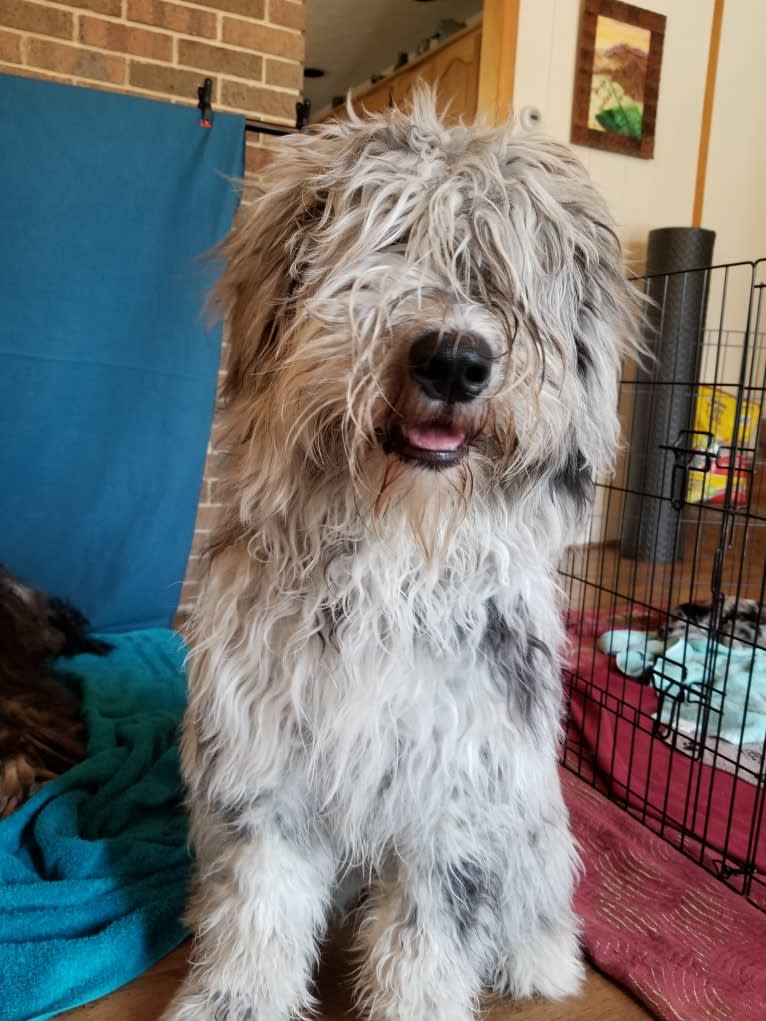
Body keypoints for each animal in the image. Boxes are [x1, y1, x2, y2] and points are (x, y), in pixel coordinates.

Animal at [166, 93, 641, 1021]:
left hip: (534, 814)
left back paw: (540, 957)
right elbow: (259, 908)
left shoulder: (459, 792)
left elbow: (429, 937)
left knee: (539, 894)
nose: (455, 361)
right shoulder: (264, 767)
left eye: (498, 277)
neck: (394, 555)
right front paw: (237, 997)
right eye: (386, 242)